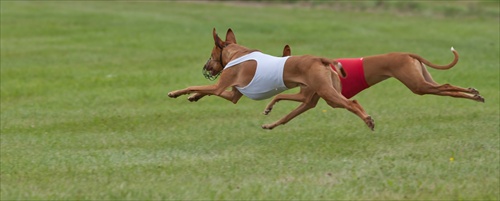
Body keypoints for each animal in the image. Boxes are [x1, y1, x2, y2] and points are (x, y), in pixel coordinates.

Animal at [168, 29, 376, 131]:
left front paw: (175, 93)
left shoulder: (219, 86)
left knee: (352, 103)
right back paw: (270, 122)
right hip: (316, 95)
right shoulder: (233, 94)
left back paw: (368, 120)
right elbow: (203, 90)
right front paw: (193, 97)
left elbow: (194, 85)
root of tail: (320, 59)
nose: (206, 68)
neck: (238, 53)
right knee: (289, 114)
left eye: (211, 56)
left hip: (326, 93)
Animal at [262, 44, 484, 115]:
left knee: (446, 86)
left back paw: (474, 95)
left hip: (418, 85)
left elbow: (279, 98)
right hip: (424, 81)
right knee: (447, 88)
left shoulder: (308, 96)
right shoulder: (309, 98)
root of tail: (407, 53)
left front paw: (268, 109)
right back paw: (475, 94)